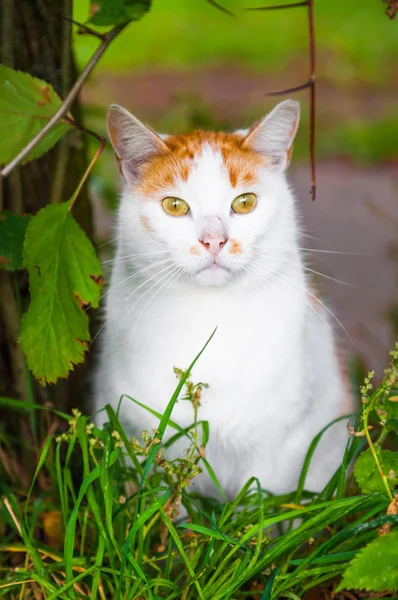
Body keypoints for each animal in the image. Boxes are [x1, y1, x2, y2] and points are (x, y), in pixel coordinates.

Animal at [95, 101, 352, 500]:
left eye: (245, 203)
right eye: (174, 206)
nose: (214, 240)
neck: (212, 322)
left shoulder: (279, 449)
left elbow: (256, 506)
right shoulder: (138, 437)